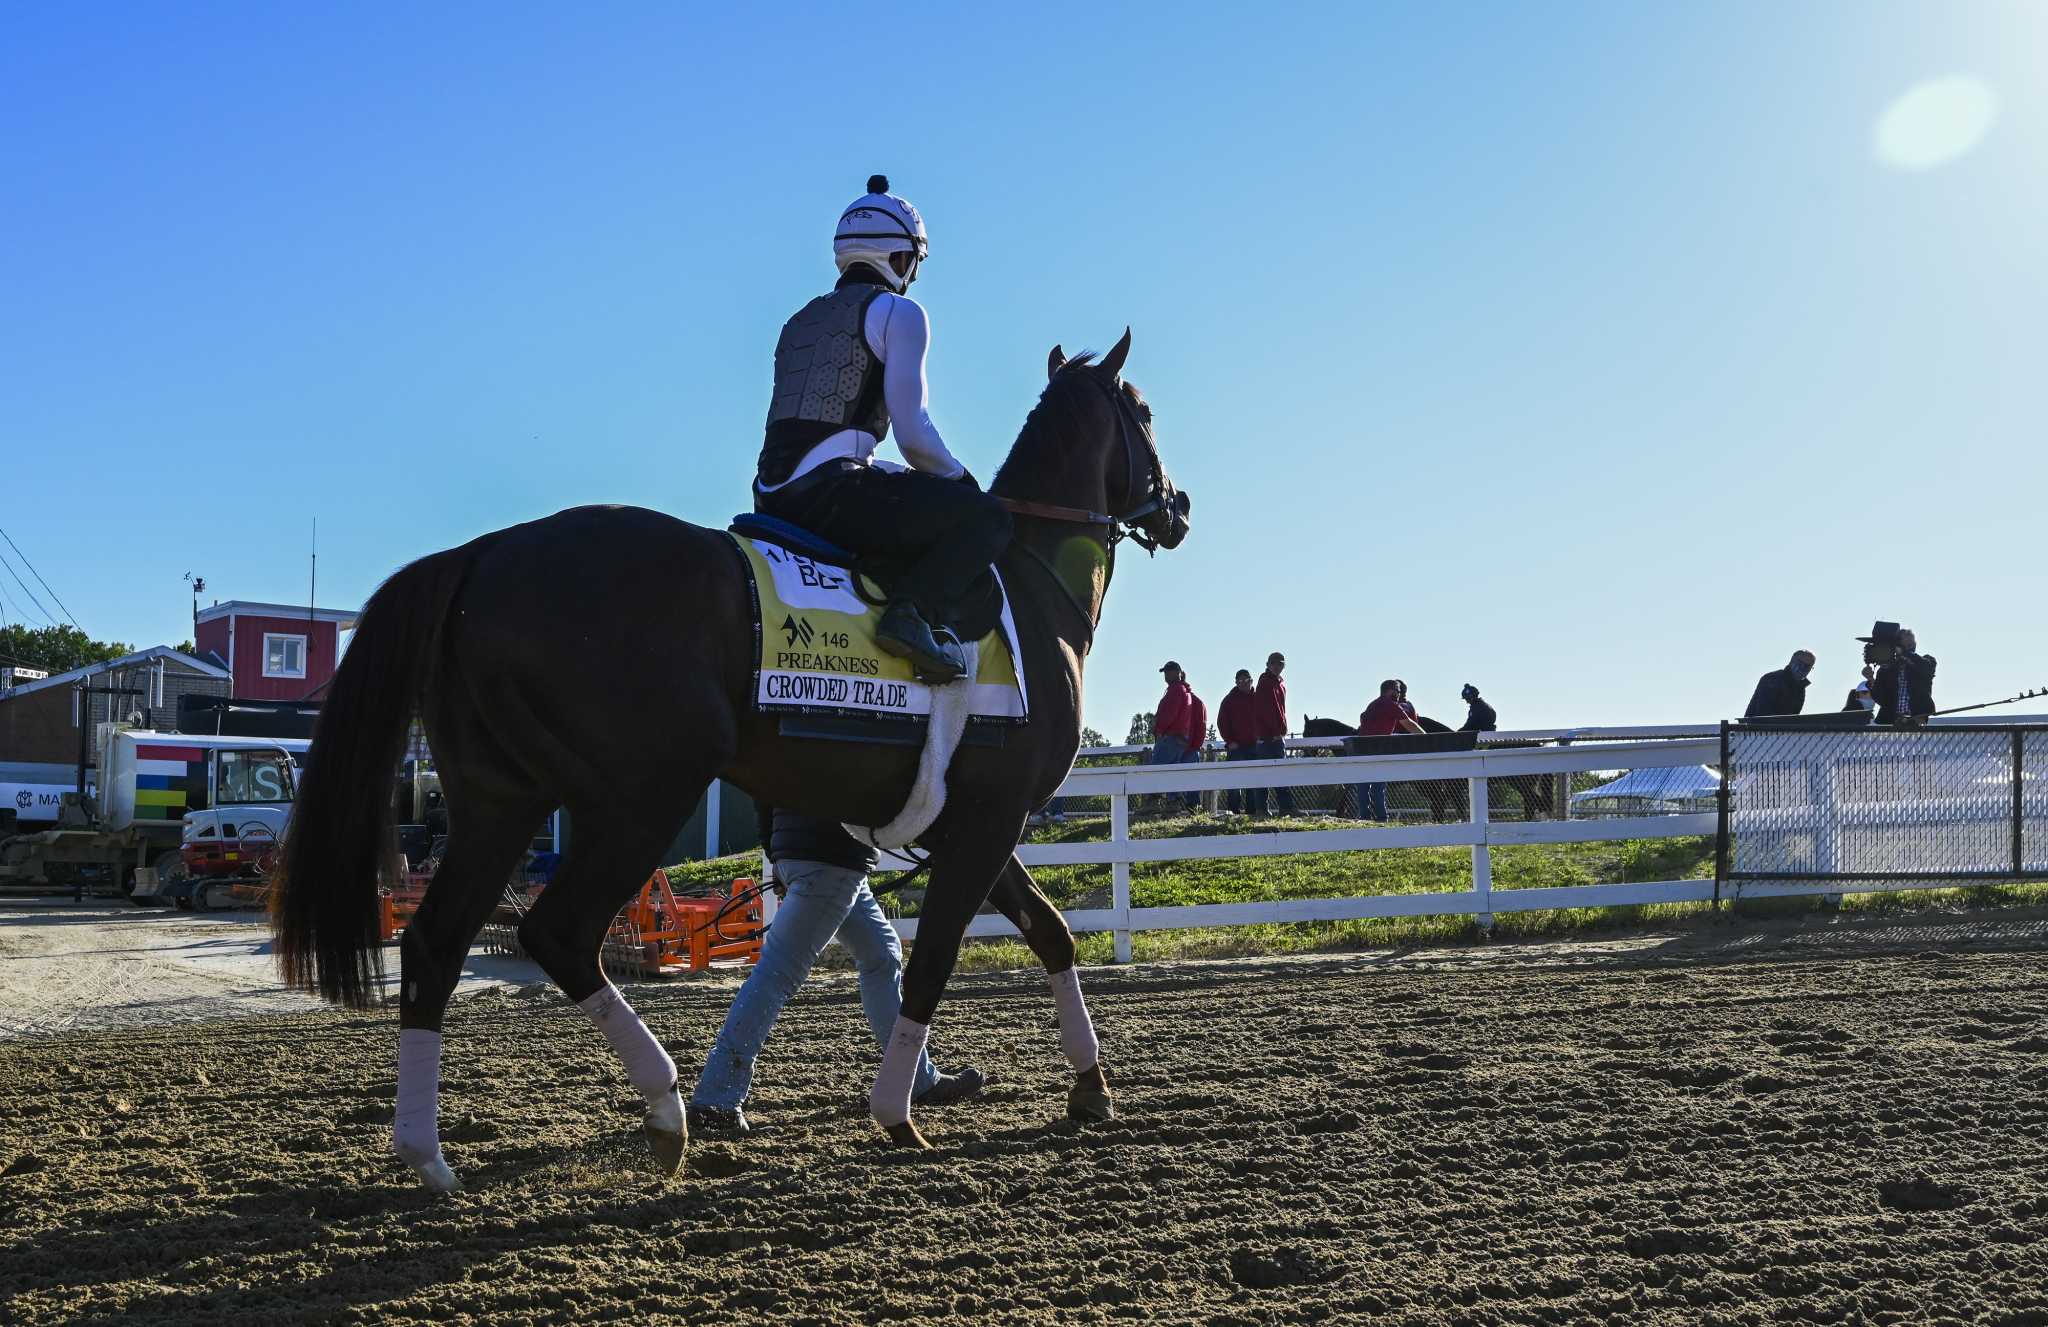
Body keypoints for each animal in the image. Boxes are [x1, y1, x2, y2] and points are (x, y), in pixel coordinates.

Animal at [272, 332, 1190, 1192]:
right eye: (1144, 412)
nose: (1178, 506)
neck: (1029, 595)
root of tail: (484, 554)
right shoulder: (989, 820)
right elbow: (937, 960)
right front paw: (897, 1112)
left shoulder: (966, 824)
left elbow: (1051, 932)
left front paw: (1091, 1084)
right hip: (643, 796)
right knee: (558, 932)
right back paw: (667, 1111)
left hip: (499, 802)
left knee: (434, 945)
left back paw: (428, 1154)